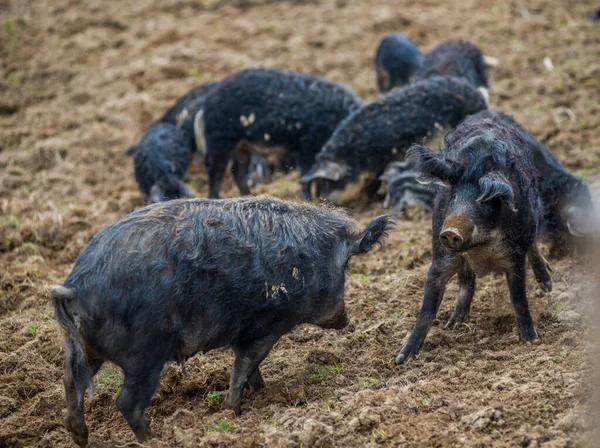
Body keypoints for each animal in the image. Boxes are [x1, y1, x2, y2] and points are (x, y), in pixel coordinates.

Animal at [51, 196, 394, 444]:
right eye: (347, 266)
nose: (346, 321)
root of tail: (74, 287)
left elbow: (251, 369)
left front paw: (261, 392)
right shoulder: (266, 327)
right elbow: (244, 367)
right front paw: (233, 412)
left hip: (86, 349)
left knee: (70, 382)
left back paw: (80, 438)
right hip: (145, 354)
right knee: (126, 402)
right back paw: (155, 439)